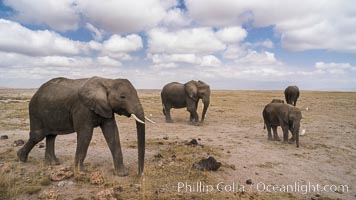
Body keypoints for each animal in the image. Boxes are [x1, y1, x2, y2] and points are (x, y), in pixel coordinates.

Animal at [17, 76, 153, 177]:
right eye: (122, 97)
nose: (139, 175)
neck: (107, 81)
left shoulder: (106, 108)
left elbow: (112, 132)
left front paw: (122, 174)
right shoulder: (82, 108)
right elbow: (86, 134)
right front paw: (81, 172)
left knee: (51, 136)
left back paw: (53, 164)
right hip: (35, 111)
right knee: (38, 135)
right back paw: (21, 158)